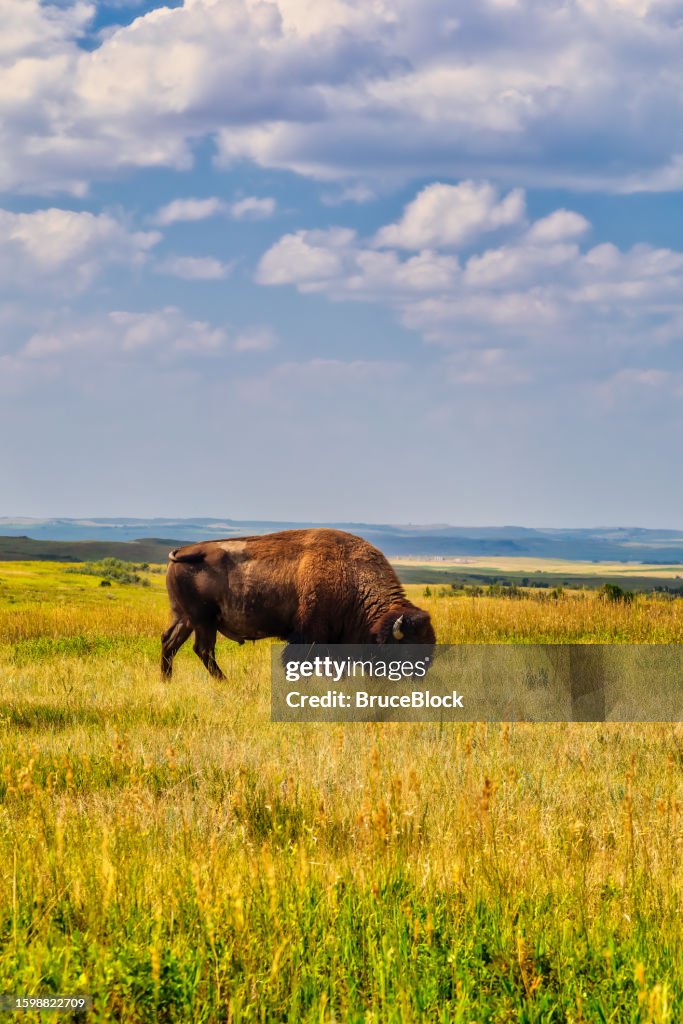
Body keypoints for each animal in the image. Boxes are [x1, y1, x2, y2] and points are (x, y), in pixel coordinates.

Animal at [161, 528, 435, 679]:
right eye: (406, 650)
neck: (351, 575)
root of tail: (184, 551)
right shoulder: (308, 635)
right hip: (203, 621)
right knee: (203, 649)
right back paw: (224, 682)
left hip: (185, 618)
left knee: (169, 642)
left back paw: (167, 680)